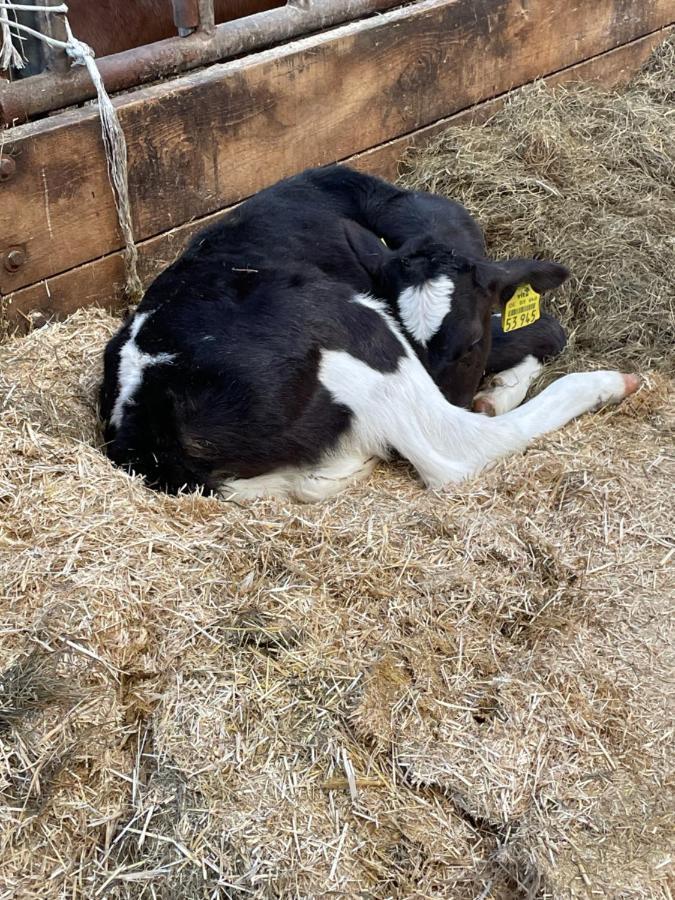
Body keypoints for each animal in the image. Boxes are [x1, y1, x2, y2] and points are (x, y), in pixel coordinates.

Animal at [99, 166, 640, 502]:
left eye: (466, 346)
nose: (458, 395)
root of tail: (145, 423)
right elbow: (548, 328)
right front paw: (503, 388)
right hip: (355, 328)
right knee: (459, 449)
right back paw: (608, 383)